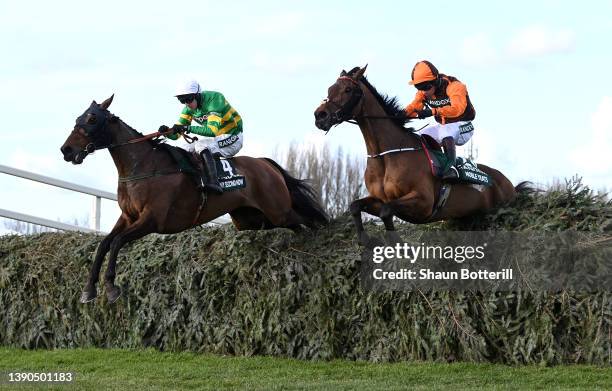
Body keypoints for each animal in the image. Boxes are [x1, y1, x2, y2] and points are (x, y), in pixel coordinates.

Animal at [61, 95, 328, 304]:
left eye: (92, 119)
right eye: (78, 118)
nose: (66, 150)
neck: (143, 166)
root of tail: (266, 164)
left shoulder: (152, 220)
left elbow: (117, 243)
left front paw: (111, 288)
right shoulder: (128, 217)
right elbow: (104, 244)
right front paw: (88, 290)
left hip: (277, 210)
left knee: (306, 219)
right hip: (251, 219)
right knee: (296, 224)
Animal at [316, 66, 520, 247]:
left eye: (348, 89)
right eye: (330, 89)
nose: (320, 116)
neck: (385, 157)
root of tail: (508, 183)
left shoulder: (424, 202)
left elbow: (386, 211)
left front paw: (397, 242)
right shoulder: (379, 198)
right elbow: (356, 206)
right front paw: (366, 239)